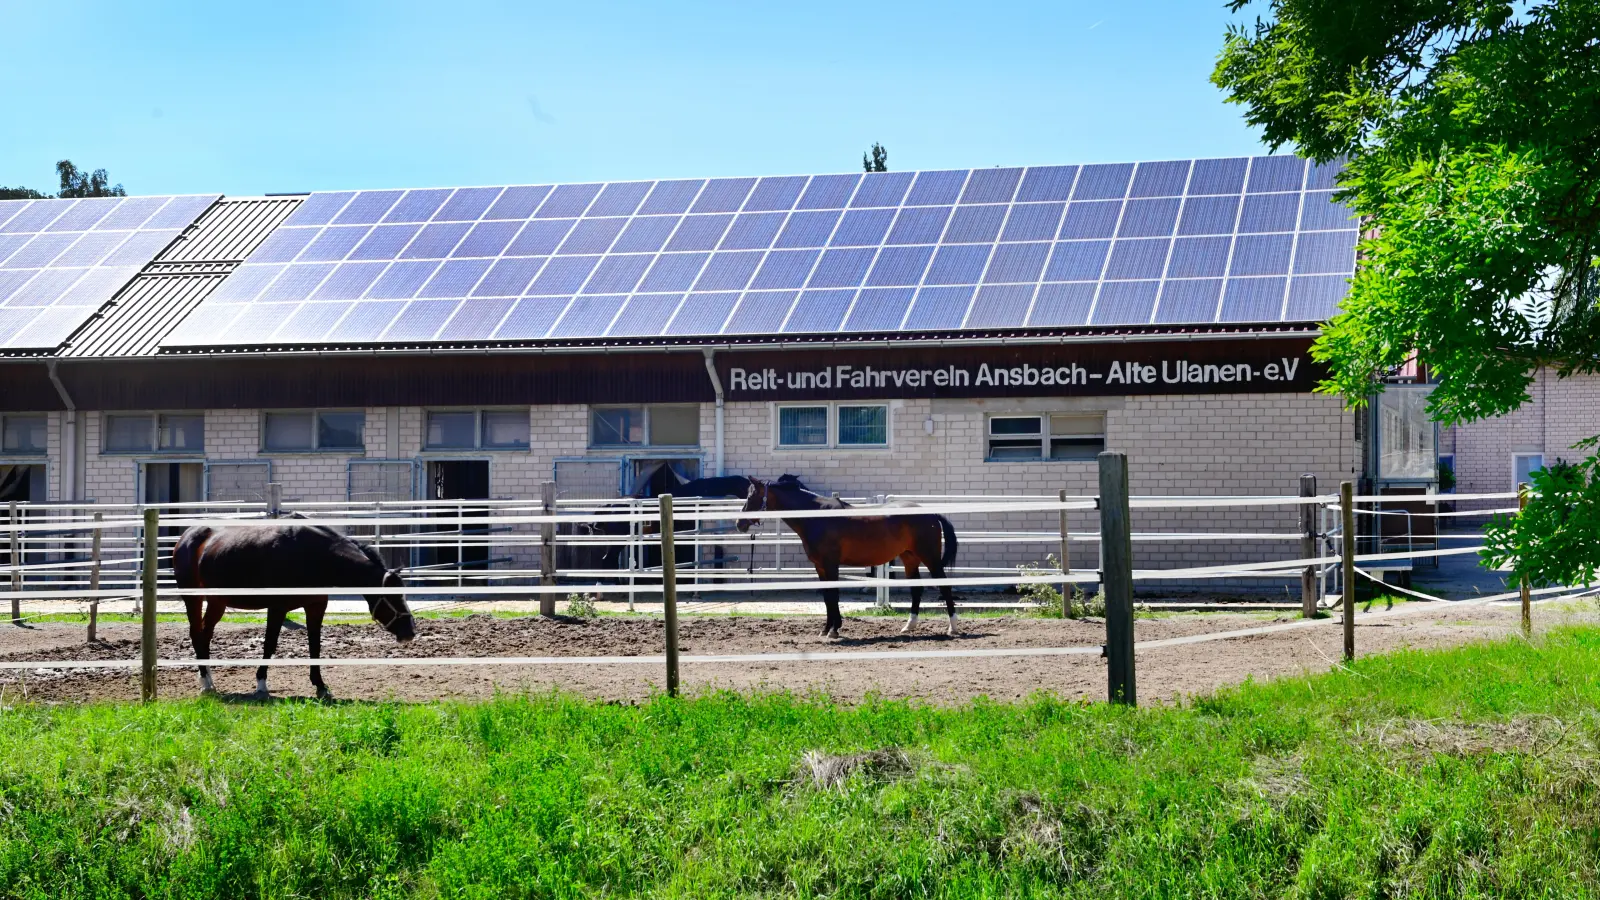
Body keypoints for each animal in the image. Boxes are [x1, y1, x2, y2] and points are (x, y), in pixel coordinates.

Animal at [172, 518, 416, 701]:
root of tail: (186, 536)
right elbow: (269, 644)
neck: (314, 556)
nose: (410, 632)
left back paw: (209, 680)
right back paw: (206, 684)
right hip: (193, 599)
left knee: (205, 634)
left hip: (217, 601)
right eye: (393, 596)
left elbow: (315, 646)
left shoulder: (316, 607)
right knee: (196, 633)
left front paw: (321, 687)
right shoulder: (277, 607)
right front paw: (261, 684)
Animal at [739, 477, 960, 637]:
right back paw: (909, 626)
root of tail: (931, 514)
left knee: (945, 586)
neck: (816, 517)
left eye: (751, 497)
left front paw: (834, 629)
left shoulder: (831, 564)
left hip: (929, 557)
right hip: (909, 558)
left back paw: (953, 627)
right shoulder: (820, 566)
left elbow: (833, 595)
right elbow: (827, 597)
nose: (739, 524)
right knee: (917, 589)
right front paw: (826, 629)